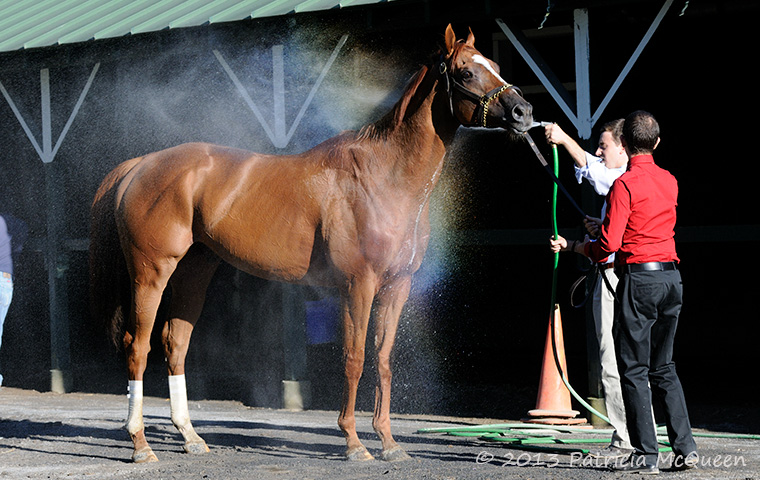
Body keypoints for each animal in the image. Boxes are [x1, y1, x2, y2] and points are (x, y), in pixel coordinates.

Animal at [90, 24, 536, 464]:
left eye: (495, 66)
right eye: (465, 72)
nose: (523, 112)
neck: (384, 178)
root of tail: (140, 165)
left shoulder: (397, 287)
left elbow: (383, 359)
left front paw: (389, 443)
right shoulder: (358, 286)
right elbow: (354, 359)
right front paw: (354, 443)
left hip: (194, 272)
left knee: (175, 345)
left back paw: (190, 436)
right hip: (151, 274)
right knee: (138, 347)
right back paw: (141, 444)